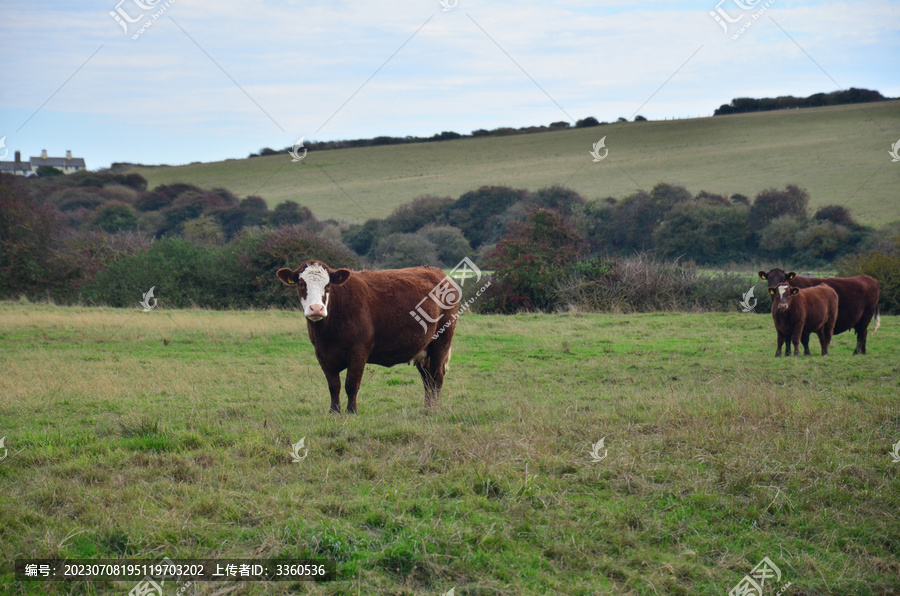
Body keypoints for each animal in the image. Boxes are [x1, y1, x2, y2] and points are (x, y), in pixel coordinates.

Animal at [274, 260, 458, 414]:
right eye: (301, 284)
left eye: (327, 286)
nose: (316, 308)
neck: (328, 333)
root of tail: (437, 272)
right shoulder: (322, 355)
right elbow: (334, 386)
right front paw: (334, 412)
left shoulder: (359, 352)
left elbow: (351, 384)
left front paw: (351, 412)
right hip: (423, 349)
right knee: (427, 378)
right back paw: (426, 407)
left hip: (441, 341)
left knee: (436, 376)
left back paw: (434, 408)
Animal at [756, 270, 884, 354]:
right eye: (769, 278)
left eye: (783, 278)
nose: (773, 287)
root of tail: (872, 279)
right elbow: (787, 338)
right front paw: (787, 353)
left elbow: (803, 339)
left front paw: (806, 353)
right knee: (864, 334)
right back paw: (863, 352)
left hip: (866, 316)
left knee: (861, 334)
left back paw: (856, 352)